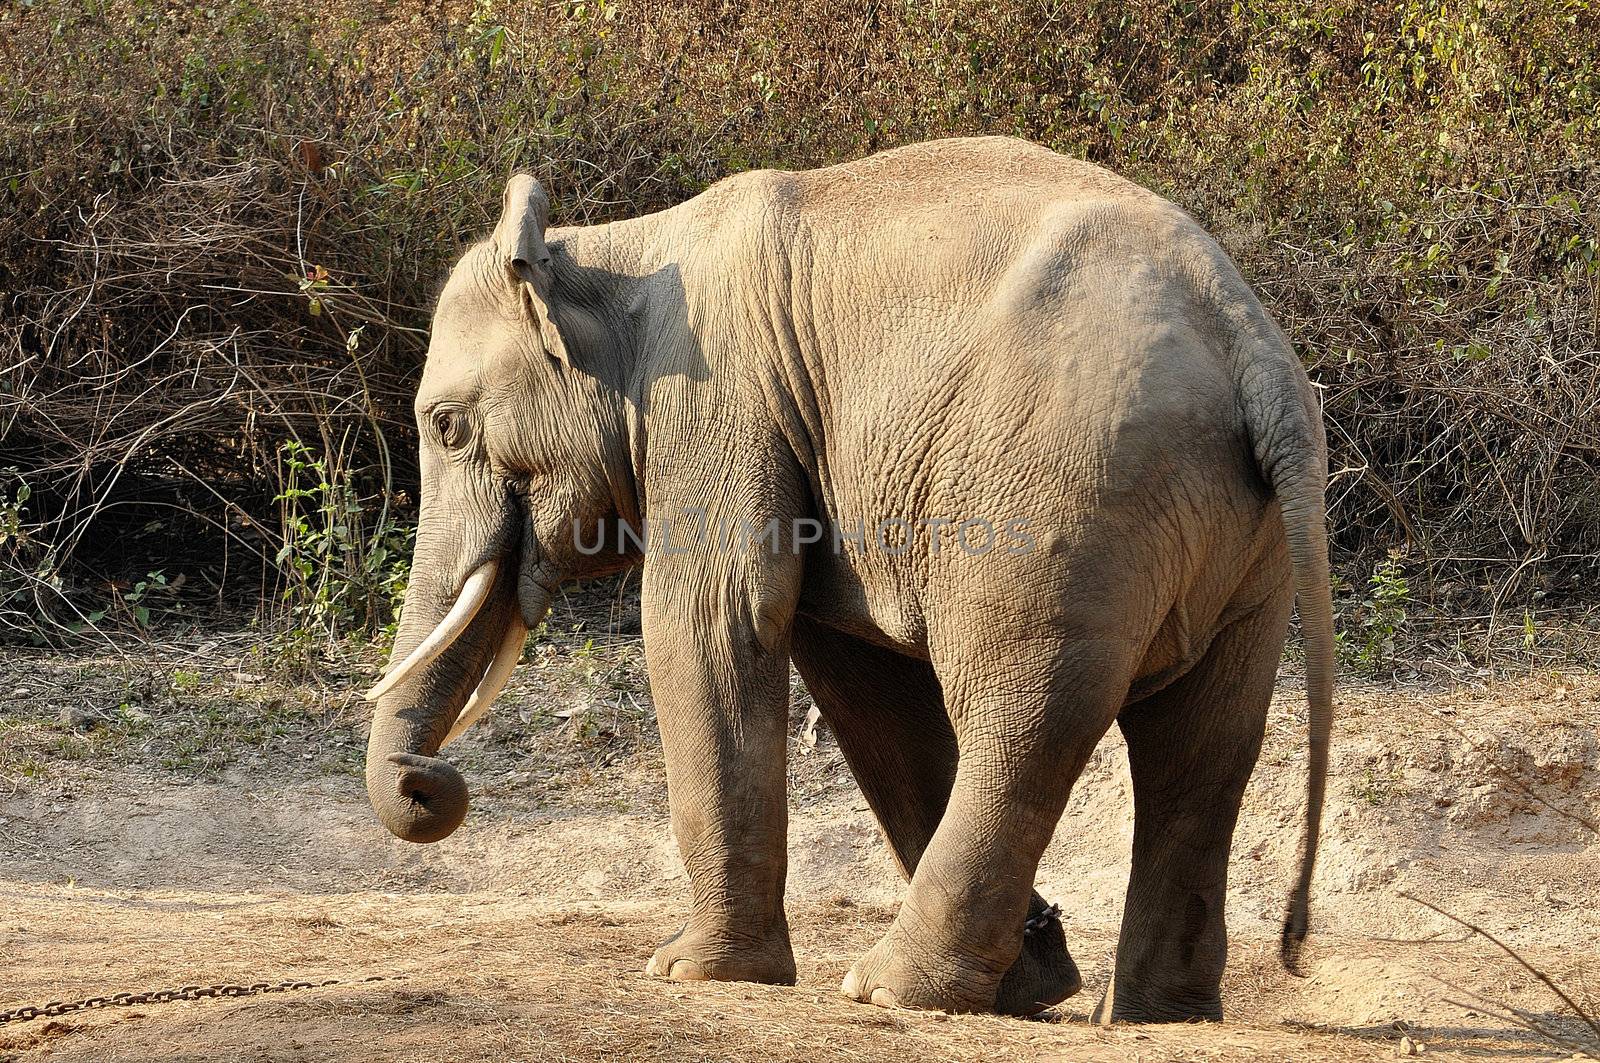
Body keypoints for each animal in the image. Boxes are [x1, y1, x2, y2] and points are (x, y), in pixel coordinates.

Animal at [363, 135, 1337, 1024]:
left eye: (446, 425)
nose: (426, 782)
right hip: (1241, 545)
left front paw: (688, 971)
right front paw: (1036, 981)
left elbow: (708, 622)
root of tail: (1254, 348)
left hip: (1069, 507)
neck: (619, 250)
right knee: (1203, 744)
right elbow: (862, 683)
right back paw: (1144, 1014)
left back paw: (889, 988)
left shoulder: (718, 407)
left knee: (1025, 715)